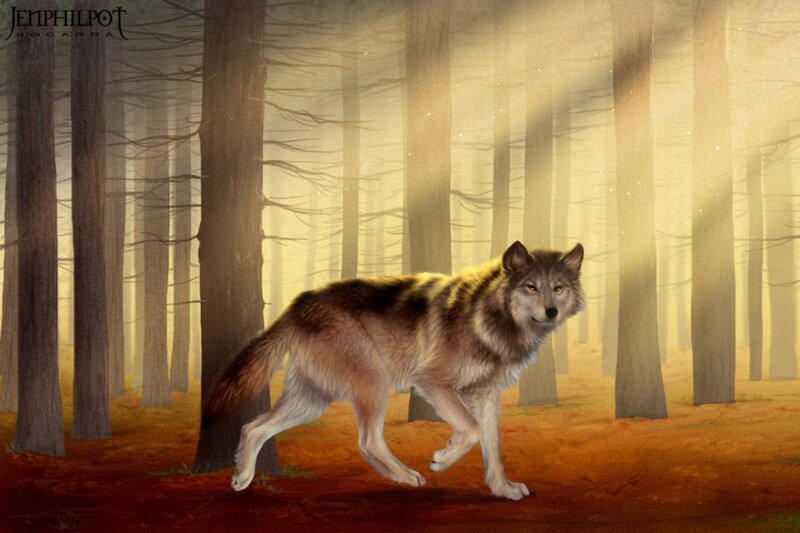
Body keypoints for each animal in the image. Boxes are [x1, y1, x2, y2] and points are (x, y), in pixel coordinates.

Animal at [203, 241, 584, 500]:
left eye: (558, 288)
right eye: (531, 286)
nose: (551, 311)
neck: (489, 317)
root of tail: (297, 304)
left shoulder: (486, 394)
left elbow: (493, 447)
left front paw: (503, 488)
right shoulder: (433, 382)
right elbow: (472, 430)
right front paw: (442, 459)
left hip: (312, 401)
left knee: (252, 427)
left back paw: (241, 478)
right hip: (374, 383)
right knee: (368, 442)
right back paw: (407, 476)